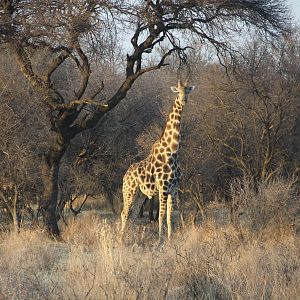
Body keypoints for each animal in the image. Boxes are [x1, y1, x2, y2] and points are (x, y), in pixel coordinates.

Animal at [121, 79, 195, 244]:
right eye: (178, 91)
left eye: (187, 90)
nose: (183, 100)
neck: (172, 151)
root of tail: (125, 176)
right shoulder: (163, 188)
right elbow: (160, 216)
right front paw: (160, 241)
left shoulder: (174, 189)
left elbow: (168, 217)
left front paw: (169, 240)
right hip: (129, 191)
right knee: (124, 213)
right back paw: (120, 240)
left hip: (140, 195)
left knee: (133, 215)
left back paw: (133, 240)